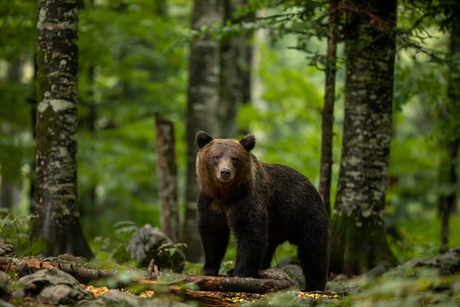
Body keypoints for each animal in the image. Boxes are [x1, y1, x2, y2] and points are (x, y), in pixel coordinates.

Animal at [194, 132, 330, 292]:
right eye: (216, 156)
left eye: (234, 158)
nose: (225, 172)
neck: (225, 195)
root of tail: (311, 185)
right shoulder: (210, 202)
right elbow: (213, 234)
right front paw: (211, 269)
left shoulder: (247, 200)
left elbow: (251, 232)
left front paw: (239, 273)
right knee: (268, 248)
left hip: (305, 214)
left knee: (313, 250)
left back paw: (314, 286)